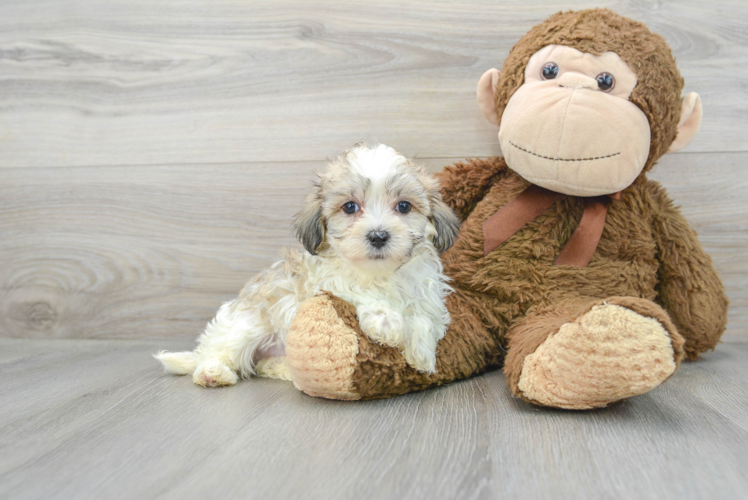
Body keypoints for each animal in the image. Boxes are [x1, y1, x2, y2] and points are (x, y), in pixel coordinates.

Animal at [155, 144, 458, 386]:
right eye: (350, 207)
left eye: (404, 206)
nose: (378, 235)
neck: (380, 274)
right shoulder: (324, 281)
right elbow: (359, 292)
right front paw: (387, 323)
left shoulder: (426, 290)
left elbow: (426, 315)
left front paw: (422, 353)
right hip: (245, 326)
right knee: (220, 353)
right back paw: (213, 372)